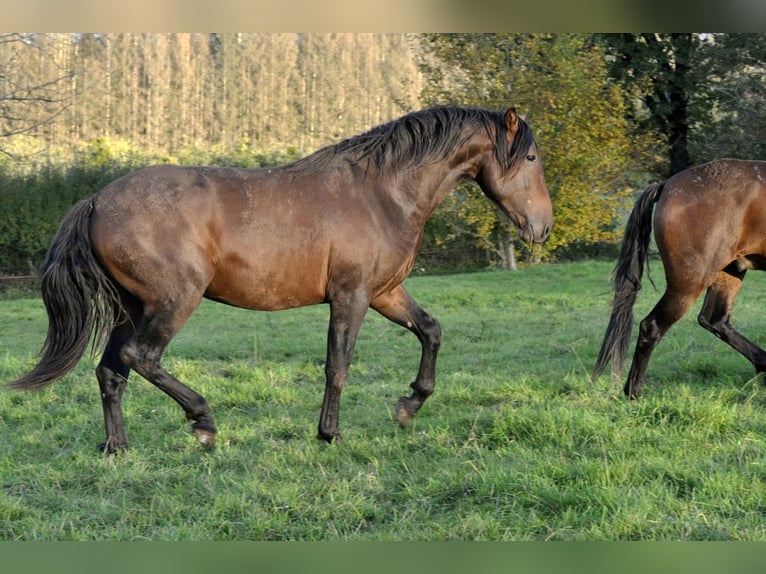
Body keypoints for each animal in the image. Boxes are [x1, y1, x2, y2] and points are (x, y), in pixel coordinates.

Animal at [9, 104, 556, 454]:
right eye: (530, 158)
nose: (543, 227)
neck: (382, 193)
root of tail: (96, 200)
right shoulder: (352, 296)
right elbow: (338, 365)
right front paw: (330, 434)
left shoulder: (385, 292)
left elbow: (431, 330)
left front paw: (409, 405)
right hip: (172, 302)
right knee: (140, 359)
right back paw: (203, 422)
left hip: (133, 306)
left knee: (111, 372)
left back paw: (117, 447)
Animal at [596, 159, 766, 400]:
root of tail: (667, 185)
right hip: (690, 282)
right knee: (652, 326)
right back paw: (634, 393)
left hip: (728, 270)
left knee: (715, 320)